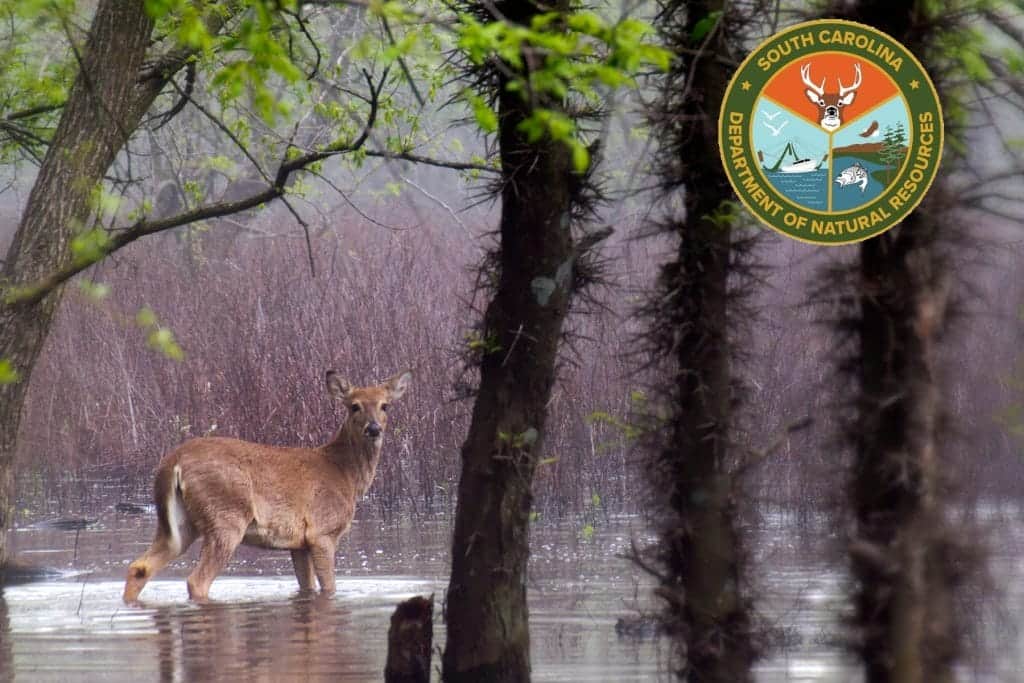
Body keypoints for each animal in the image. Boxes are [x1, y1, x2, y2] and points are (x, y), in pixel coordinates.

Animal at [122, 370, 412, 604]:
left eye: (385, 405)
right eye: (354, 406)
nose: (373, 429)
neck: (345, 474)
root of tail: (173, 461)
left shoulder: (299, 543)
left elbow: (307, 588)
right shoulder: (322, 532)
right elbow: (329, 587)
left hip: (179, 525)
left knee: (140, 566)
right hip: (225, 517)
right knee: (197, 581)